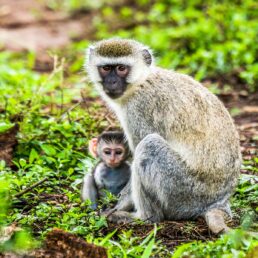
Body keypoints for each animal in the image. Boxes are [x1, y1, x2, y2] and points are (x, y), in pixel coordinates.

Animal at [85, 38, 242, 234]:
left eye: (121, 68)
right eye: (106, 68)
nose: (112, 82)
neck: (141, 82)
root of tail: (219, 201)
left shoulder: (139, 109)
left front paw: (118, 206)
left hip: (184, 190)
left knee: (148, 146)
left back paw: (144, 217)